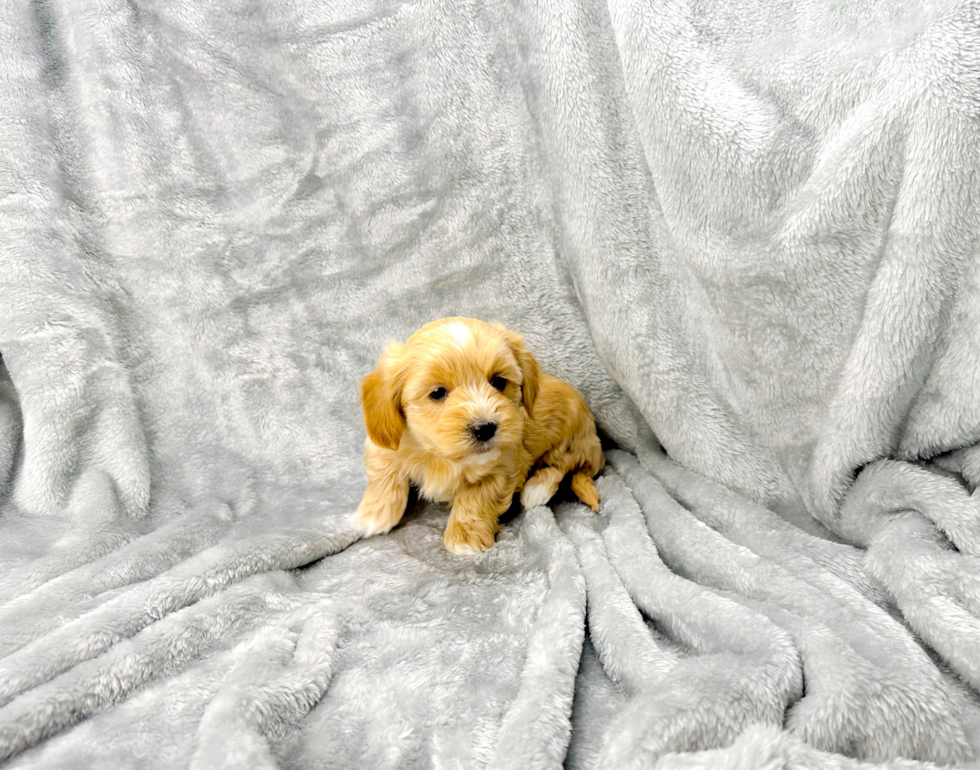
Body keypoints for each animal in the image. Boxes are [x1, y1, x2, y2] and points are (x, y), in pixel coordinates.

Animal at [358, 316, 604, 552]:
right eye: (437, 393)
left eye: (499, 382)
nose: (485, 427)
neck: (441, 456)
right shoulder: (388, 440)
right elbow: (383, 474)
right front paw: (374, 516)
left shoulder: (504, 465)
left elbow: (476, 498)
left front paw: (463, 538)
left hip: (571, 438)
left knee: (563, 465)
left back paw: (537, 490)